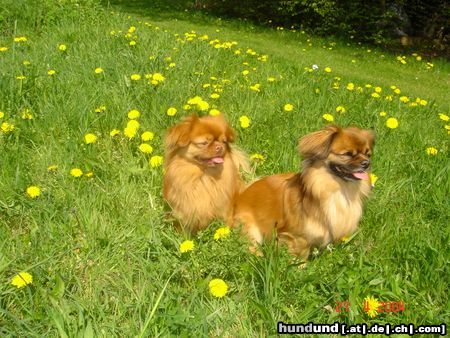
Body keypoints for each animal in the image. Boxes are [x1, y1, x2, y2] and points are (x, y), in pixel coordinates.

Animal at [230, 125, 374, 260]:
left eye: (368, 154)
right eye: (348, 154)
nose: (366, 163)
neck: (339, 190)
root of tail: (239, 197)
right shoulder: (297, 237)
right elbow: (301, 255)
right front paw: (300, 267)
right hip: (250, 228)